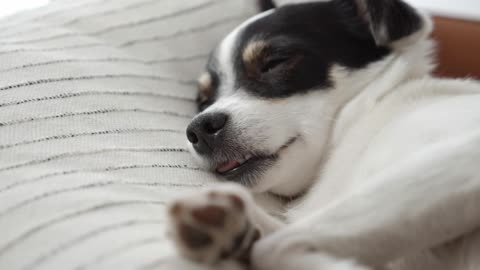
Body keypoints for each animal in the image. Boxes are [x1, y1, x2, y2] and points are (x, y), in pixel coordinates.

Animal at [167, 1, 480, 268]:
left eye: (274, 63)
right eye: (203, 101)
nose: (199, 129)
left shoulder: (460, 161)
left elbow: (279, 246)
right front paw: (240, 229)